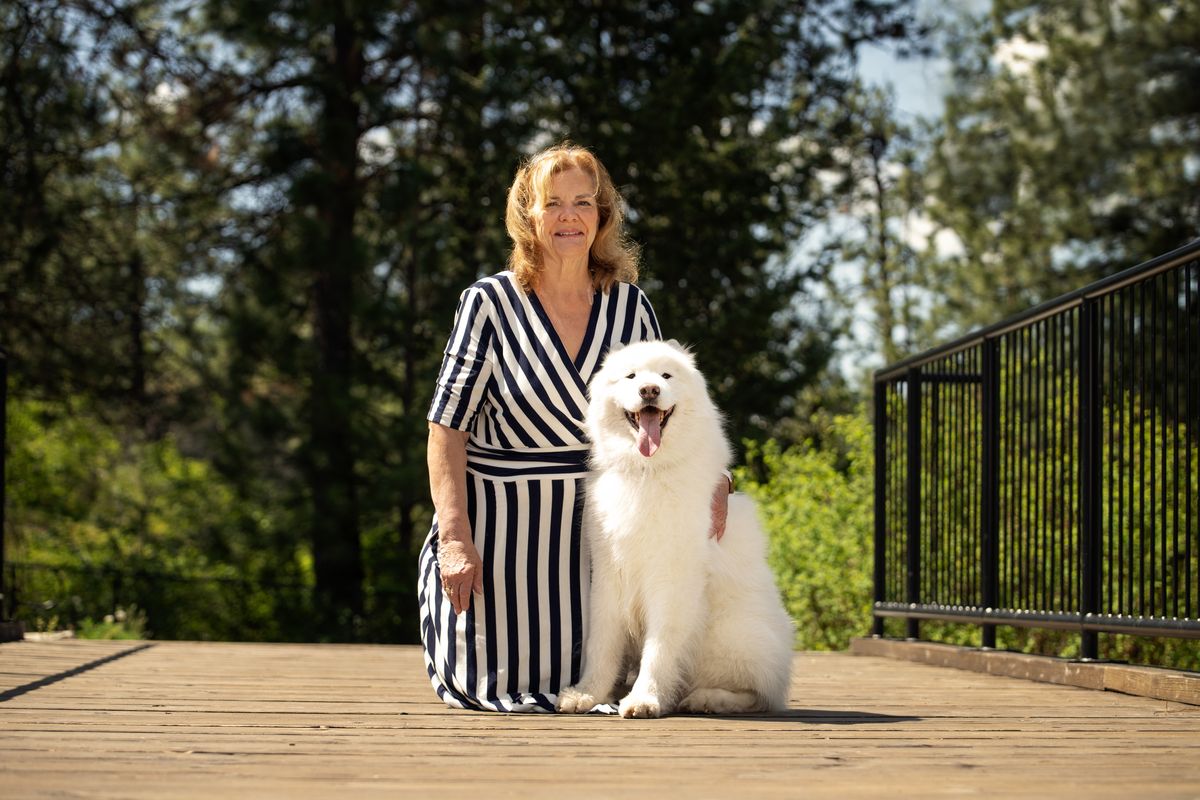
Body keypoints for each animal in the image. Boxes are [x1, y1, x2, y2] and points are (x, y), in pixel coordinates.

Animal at [554, 340, 796, 719]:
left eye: (666, 376)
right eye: (631, 376)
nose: (649, 390)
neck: (648, 472)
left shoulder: (672, 579)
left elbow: (660, 647)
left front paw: (644, 699)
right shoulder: (609, 575)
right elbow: (601, 643)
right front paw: (587, 693)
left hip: (733, 633)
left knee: (759, 694)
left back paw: (708, 699)